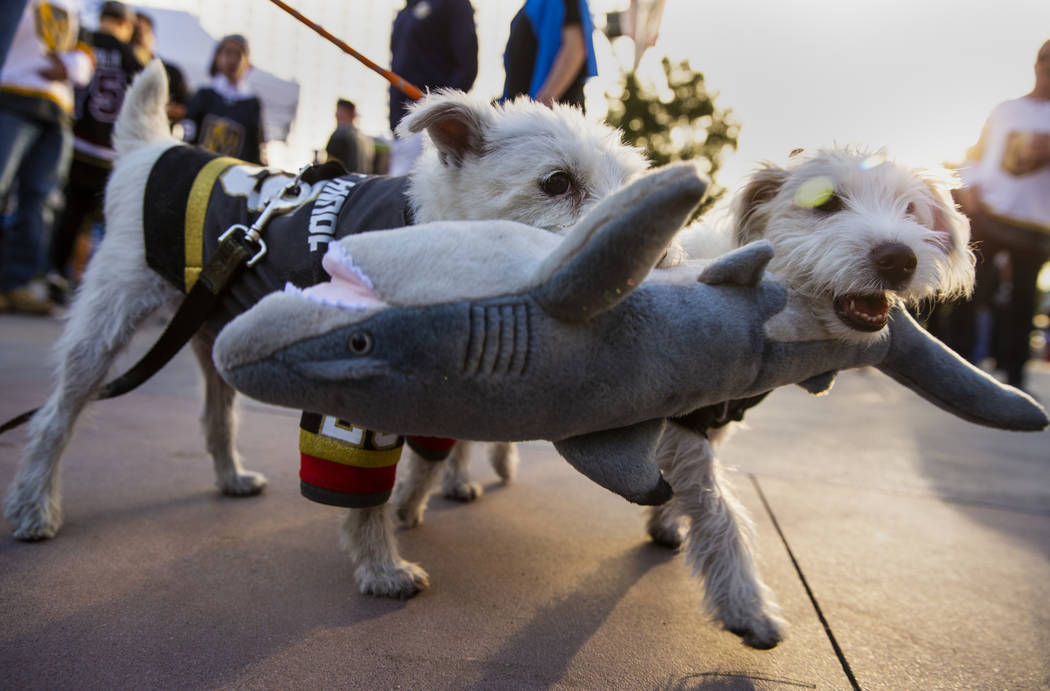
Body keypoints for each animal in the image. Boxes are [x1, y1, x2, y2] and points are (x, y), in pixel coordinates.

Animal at [2, 63, 646, 596]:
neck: (430, 235)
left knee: (216, 418)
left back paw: (231, 477)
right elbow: (362, 489)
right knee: (55, 417)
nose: (652, 256)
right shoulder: (353, 392)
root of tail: (151, 150)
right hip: (107, 320)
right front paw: (383, 567)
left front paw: (415, 505)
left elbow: (433, 454)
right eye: (556, 183)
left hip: (215, 333)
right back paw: (34, 508)